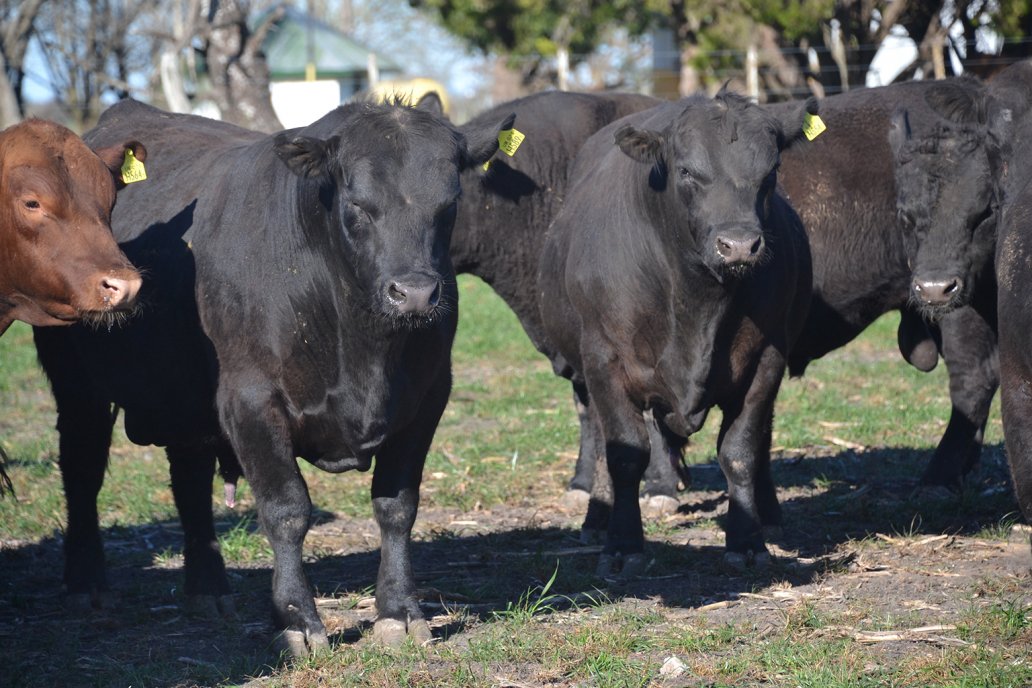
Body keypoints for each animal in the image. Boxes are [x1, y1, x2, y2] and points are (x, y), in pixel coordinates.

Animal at [34, 95, 513, 651]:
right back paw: (86, 584)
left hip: (184, 398)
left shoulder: (427, 398)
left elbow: (397, 506)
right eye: (357, 205)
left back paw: (207, 589)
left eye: (449, 203)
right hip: (78, 388)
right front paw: (297, 621)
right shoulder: (250, 400)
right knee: (82, 473)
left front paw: (400, 610)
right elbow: (287, 511)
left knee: (189, 483)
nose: (414, 293)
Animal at [536, 92, 817, 577]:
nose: (739, 245)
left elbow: (741, 449)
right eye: (686, 171)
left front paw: (747, 540)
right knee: (600, 439)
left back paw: (770, 515)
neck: (698, 297)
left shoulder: (768, 357)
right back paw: (596, 518)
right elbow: (625, 454)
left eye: (771, 171)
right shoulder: (604, 359)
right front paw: (623, 544)